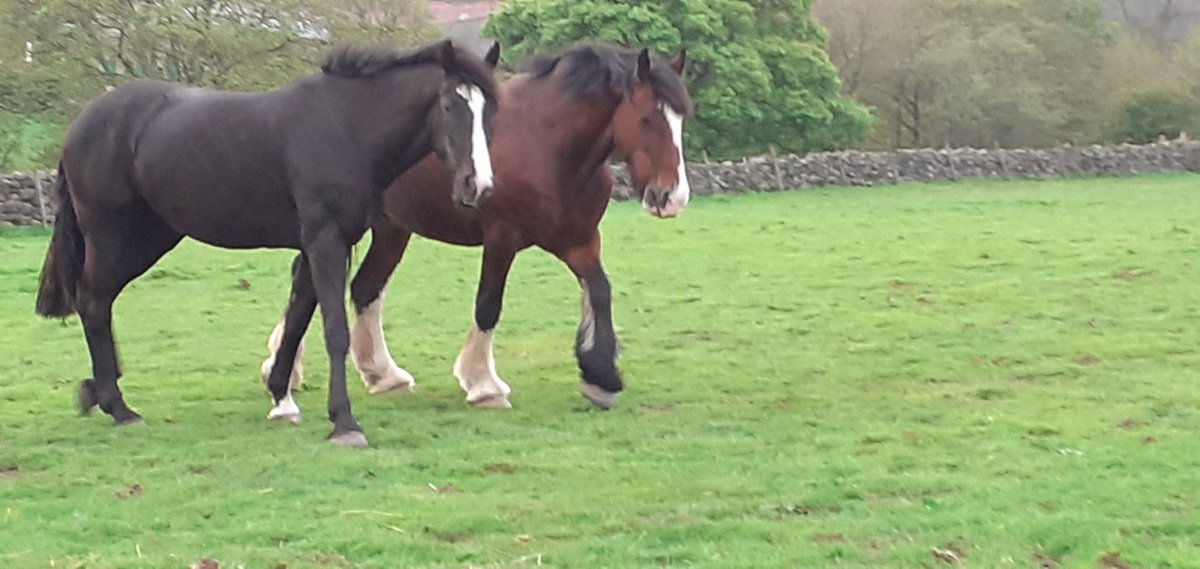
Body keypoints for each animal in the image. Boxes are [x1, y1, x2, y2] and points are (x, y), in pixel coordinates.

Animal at [35, 39, 499, 448]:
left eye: (489, 109)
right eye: (449, 104)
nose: (477, 186)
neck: (347, 128)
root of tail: (82, 124)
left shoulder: (321, 246)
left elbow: (297, 319)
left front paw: (282, 399)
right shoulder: (325, 242)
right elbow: (334, 331)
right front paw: (344, 423)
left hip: (149, 239)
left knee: (97, 302)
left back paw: (102, 395)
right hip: (113, 238)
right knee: (93, 302)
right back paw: (119, 408)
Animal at [262, 42, 696, 410]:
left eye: (681, 119)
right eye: (647, 118)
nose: (672, 196)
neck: (546, 146)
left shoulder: (580, 241)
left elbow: (600, 291)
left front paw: (601, 377)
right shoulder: (501, 239)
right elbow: (488, 306)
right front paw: (484, 385)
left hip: (392, 229)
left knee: (363, 288)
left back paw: (383, 374)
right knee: (314, 282)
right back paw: (285, 369)